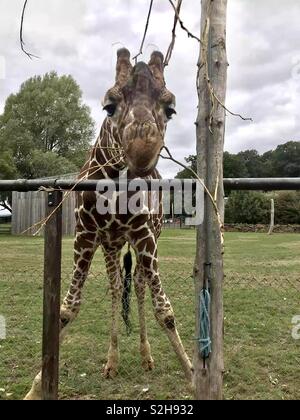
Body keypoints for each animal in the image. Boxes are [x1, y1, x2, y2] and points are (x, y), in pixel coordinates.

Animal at [23, 49, 192, 400]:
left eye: (170, 108)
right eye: (109, 105)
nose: (142, 152)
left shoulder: (144, 235)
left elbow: (165, 311)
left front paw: (196, 378)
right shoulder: (85, 236)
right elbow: (67, 309)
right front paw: (34, 389)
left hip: (145, 238)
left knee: (138, 286)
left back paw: (146, 357)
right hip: (111, 244)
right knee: (115, 287)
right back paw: (112, 362)